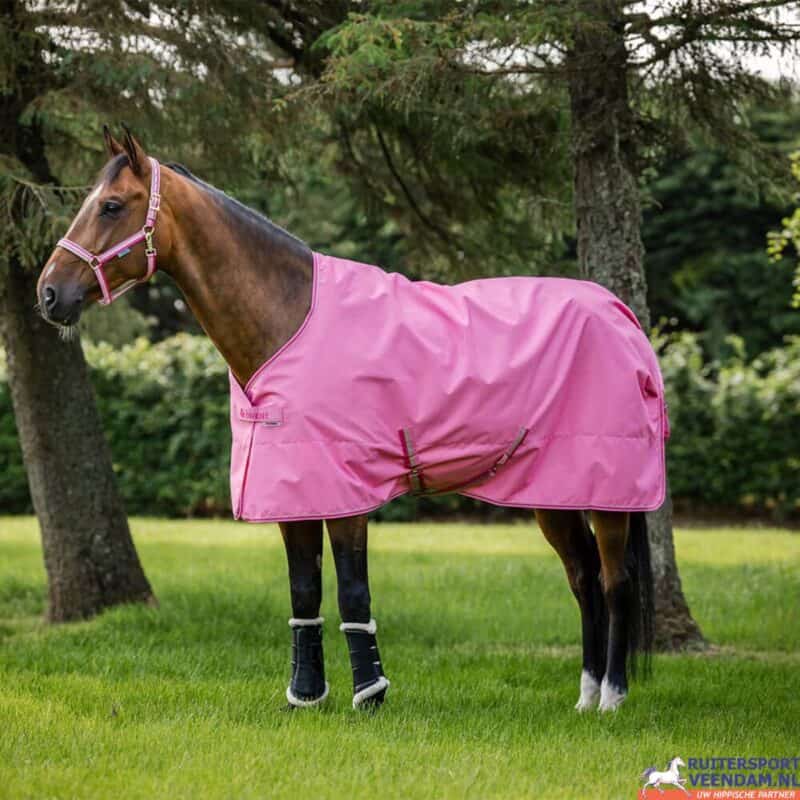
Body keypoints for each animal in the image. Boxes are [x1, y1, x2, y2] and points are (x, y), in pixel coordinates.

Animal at [37, 127, 660, 712]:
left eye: (111, 205)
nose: (48, 294)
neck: (288, 318)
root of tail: (620, 315)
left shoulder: (346, 495)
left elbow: (353, 592)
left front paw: (371, 695)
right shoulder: (293, 494)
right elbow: (304, 591)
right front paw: (306, 695)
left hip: (609, 495)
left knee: (615, 582)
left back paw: (612, 698)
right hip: (553, 493)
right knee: (583, 580)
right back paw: (584, 695)